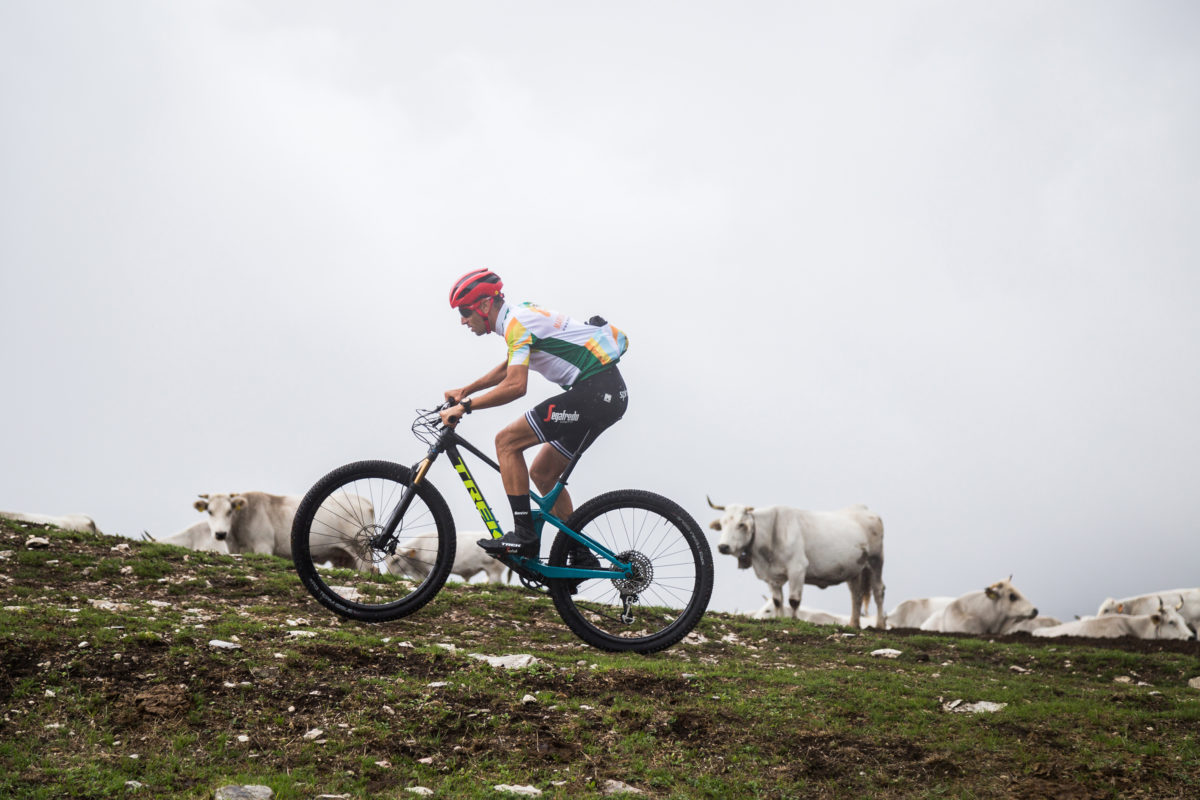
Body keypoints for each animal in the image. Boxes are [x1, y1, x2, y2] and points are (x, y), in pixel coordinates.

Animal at [194, 489, 369, 568]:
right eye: (210, 511)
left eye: (229, 511)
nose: (220, 534)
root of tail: (365, 501)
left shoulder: (264, 546)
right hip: (343, 557)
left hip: (360, 551)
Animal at [705, 496, 888, 628]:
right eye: (722, 524)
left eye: (741, 524)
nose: (723, 546)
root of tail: (863, 508)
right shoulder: (771, 576)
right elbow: (778, 600)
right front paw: (779, 619)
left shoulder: (797, 568)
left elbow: (793, 600)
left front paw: (793, 620)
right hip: (855, 569)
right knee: (856, 595)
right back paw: (853, 624)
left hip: (876, 560)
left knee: (878, 590)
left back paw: (879, 625)